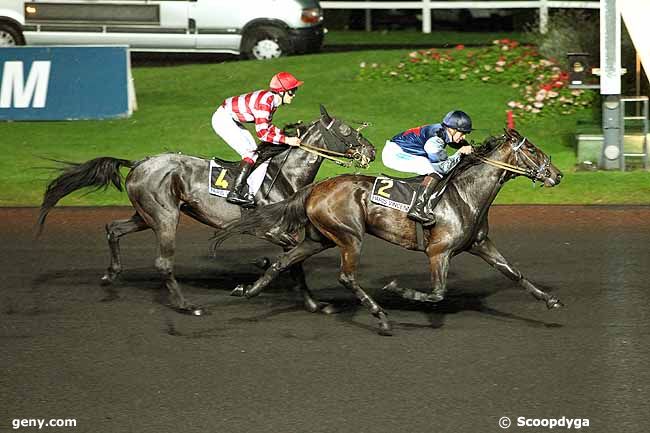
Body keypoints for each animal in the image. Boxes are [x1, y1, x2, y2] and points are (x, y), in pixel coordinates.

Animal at [36, 104, 374, 314]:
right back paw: (187, 306)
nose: (370, 151)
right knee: (162, 262)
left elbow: (293, 262)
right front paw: (260, 270)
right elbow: (291, 260)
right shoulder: (269, 229)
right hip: (165, 216)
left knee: (113, 229)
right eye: (346, 130)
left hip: (146, 215)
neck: (285, 175)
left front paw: (314, 304)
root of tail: (138, 162)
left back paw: (110, 275)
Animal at [213, 130, 560, 336]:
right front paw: (397, 289)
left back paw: (248, 290)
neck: (465, 195)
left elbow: (513, 272)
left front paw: (550, 301)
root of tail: (314, 188)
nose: (557, 175)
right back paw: (381, 316)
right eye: (531, 149)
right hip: (350, 236)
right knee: (346, 277)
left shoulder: (480, 243)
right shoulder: (439, 252)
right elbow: (437, 293)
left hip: (319, 238)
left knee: (282, 262)